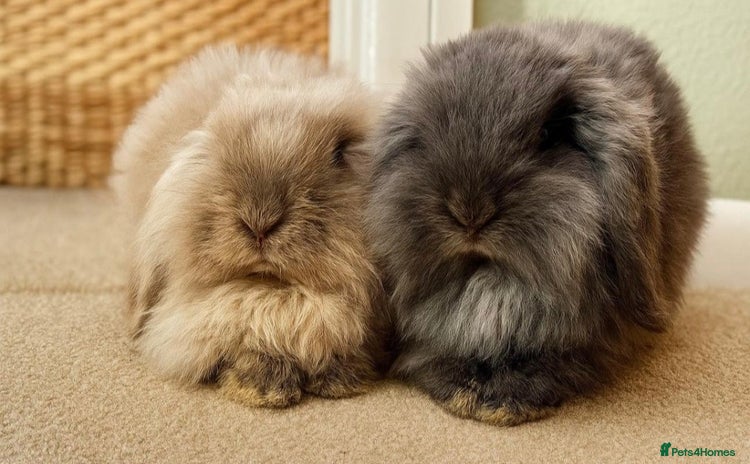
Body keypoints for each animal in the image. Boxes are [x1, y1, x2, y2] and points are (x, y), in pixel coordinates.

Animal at [111, 45, 387, 408]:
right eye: (216, 137)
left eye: (341, 152)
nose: (260, 220)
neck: (275, 292)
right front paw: (263, 388)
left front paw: (339, 380)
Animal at [365, 21, 708, 425]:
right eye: (426, 137)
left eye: (548, 135)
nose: (470, 213)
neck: (491, 286)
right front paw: (462, 391)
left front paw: (505, 400)